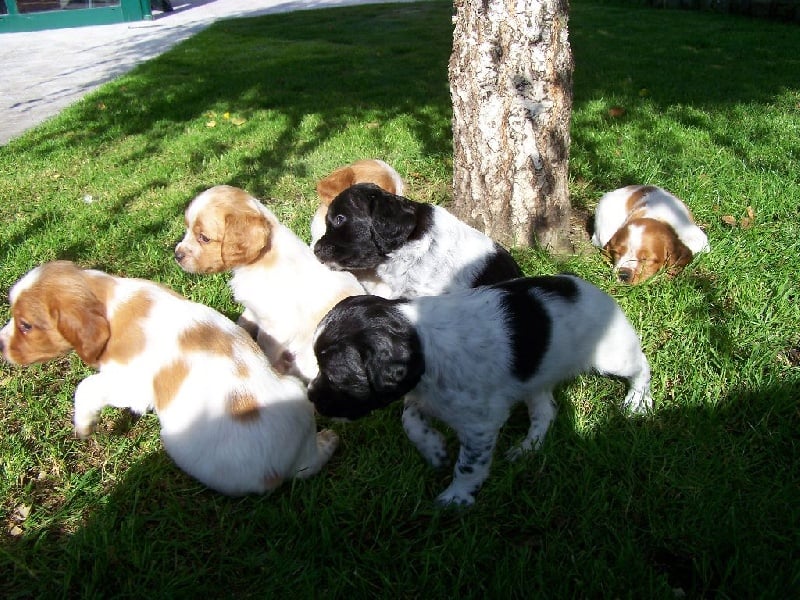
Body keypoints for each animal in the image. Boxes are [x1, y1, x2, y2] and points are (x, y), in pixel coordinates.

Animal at [0, 260, 338, 494]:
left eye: (26, 325)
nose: (1, 345)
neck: (109, 301)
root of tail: (279, 470)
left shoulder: (132, 385)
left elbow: (87, 387)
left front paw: (84, 425)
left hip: (177, 442)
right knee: (310, 465)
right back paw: (328, 442)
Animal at [175, 184, 366, 380]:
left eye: (204, 238)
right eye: (187, 228)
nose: (177, 255)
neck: (261, 259)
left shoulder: (277, 327)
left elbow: (266, 348)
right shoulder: (253, 309)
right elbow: (244, 322)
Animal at [310, 276, 652, 506]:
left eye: (336, 378)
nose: (311, 397)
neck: (423, 342)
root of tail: (588, 288)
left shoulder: (480, 425)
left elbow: (468, 465)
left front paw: (456, 497)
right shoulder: (426, 397)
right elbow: (410, 420)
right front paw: (434, 450)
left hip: (612, 355)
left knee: (641, 366)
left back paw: (639, 402)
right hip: (536, 377)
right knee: (546, 412)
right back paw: (526, 448)